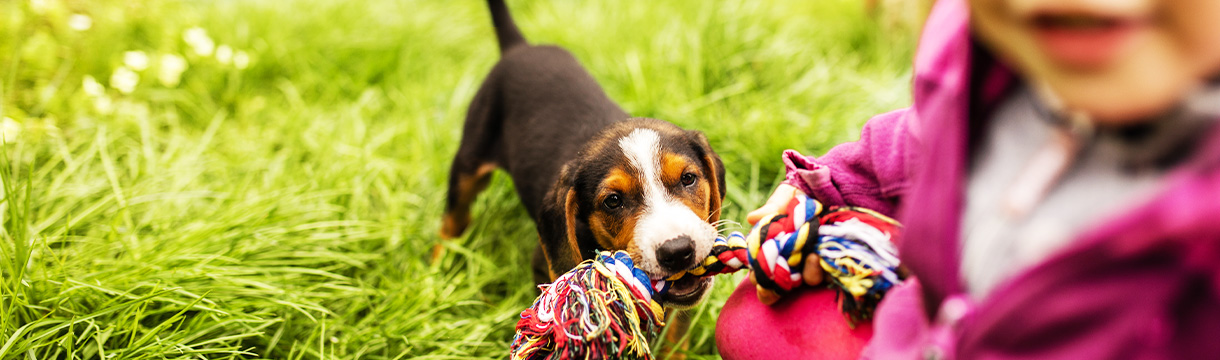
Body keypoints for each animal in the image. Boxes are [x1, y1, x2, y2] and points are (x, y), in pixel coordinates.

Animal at [441, 0, 722, 309]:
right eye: (613, 201)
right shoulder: (546, 262)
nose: (677, 250)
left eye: (688, 179)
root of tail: (519, 47)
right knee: (452, 220)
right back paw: (438, 267)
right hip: (468, 162)